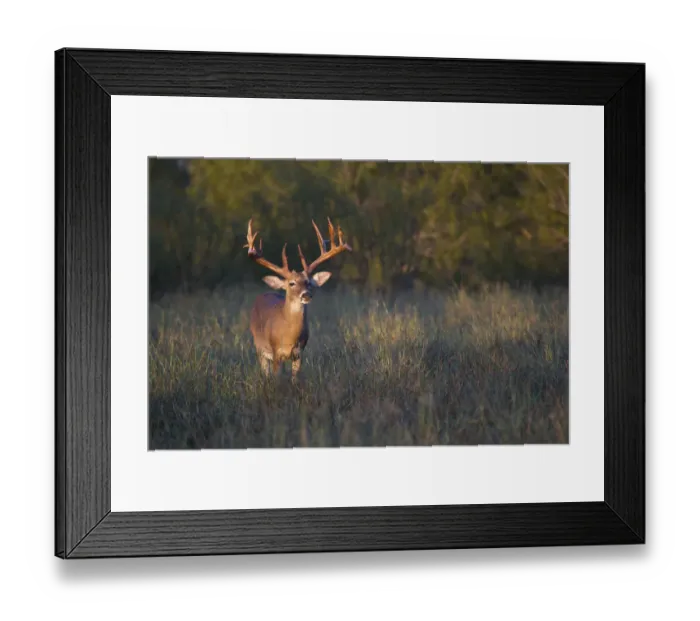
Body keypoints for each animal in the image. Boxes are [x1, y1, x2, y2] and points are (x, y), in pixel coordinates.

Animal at [245, 217, 352, 379]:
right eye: (291, 283)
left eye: (307, 282)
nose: (306, 295)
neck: (290, 336)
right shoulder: (276, 352)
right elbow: (276, 379)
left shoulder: (299, 353)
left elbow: (295, 379)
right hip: (259, 347)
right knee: (265, 373)